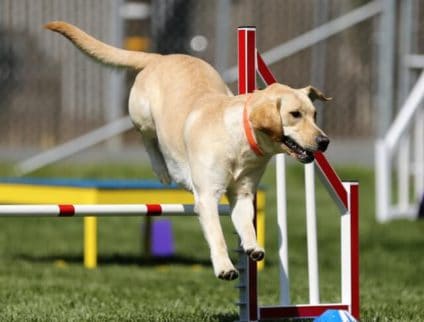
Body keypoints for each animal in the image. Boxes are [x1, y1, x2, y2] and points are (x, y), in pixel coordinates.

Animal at [45, 21, 332, 280]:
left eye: (315, 114)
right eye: (295, 114)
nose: (324, 141)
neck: (240, 139)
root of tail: (161, 57)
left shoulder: (242, 193)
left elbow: (247, 224)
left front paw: (253, 246)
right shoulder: (207, 197)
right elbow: (217, 235)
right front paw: (225, 268)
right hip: (143, 116)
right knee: (148, 140)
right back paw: (163, 170)